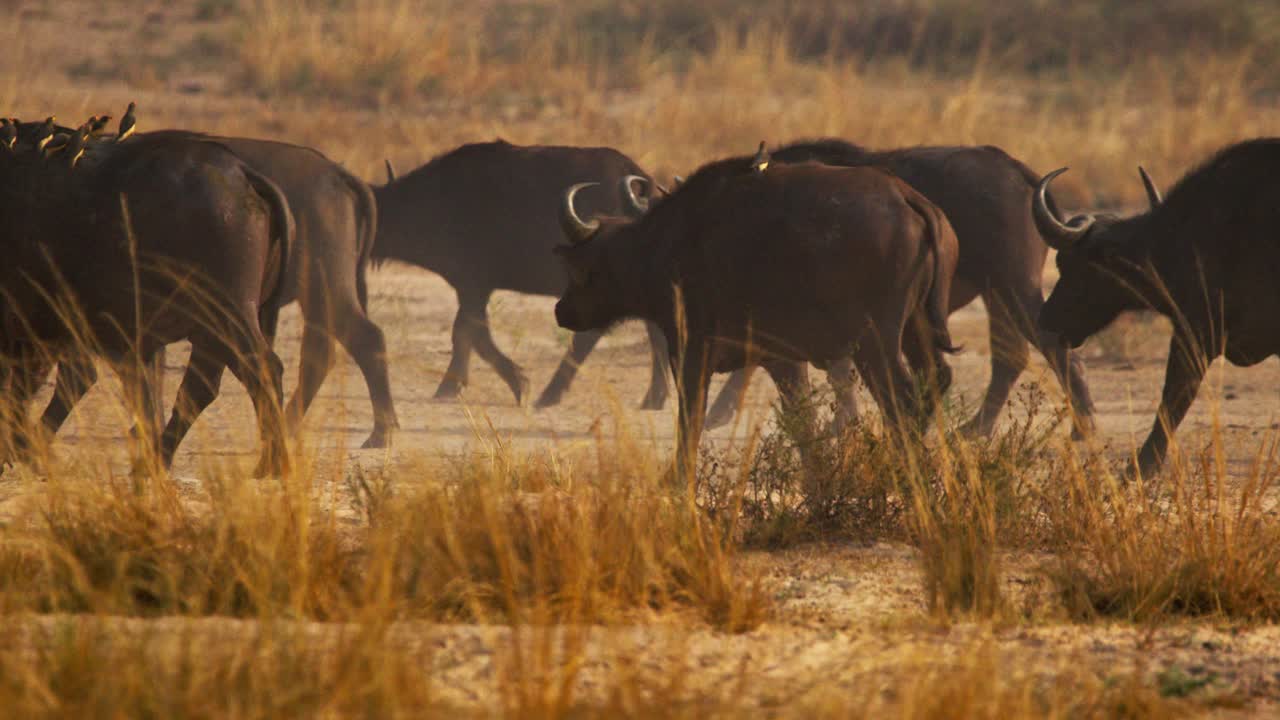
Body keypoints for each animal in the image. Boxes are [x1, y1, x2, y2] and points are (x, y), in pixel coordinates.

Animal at [0, 119, 293, 475]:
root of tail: (241, 173)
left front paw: (22, 448)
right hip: (205, 327)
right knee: (199, 385)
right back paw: (154, 459)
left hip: (228, 312)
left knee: (263, 370)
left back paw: (272, 464)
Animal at [375, 140, 670, 409]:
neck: (436, 203)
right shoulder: (472, 288)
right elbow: (467, 332)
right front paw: (453, 385)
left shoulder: (473, 284)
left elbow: (469, 331)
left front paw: (514, 383)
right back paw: (654, 397)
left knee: (590, 336)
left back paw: (551, 394)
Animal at [554, 148, 959, 478]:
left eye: (580, 268)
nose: (561, 311)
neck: (664, 245)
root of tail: (907, 198)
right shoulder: (781, 359)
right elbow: (801, 422)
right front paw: (816, 484)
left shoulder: (691, 353)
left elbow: (691, 419)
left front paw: (677, 480)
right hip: (915, 330)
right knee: (935, 379)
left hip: (875, 343)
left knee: (902, 399)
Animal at [703, 139, 1096, 437]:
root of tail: (1016, 170)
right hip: (995, 293)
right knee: (1010, 356)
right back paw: (977, 428)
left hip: (1014, 286)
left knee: (1049, 345)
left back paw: (1082, 426)